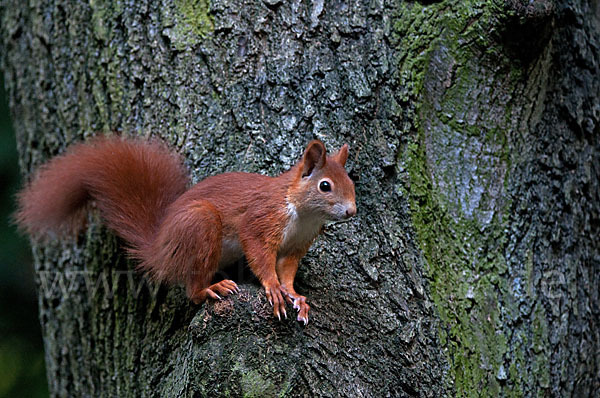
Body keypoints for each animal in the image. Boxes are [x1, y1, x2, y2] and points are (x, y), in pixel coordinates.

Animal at [16, 135, 356, 324]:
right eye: (325, 186)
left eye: (352, 183)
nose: (351, 211)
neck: (302, 213)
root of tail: (158, 248)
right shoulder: (260, 221)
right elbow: (260, 256)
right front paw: (272, 288)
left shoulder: (296, 246)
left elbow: (287, 271)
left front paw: (295, 296)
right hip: (200, 225)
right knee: (192, 291)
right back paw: (210, 288)